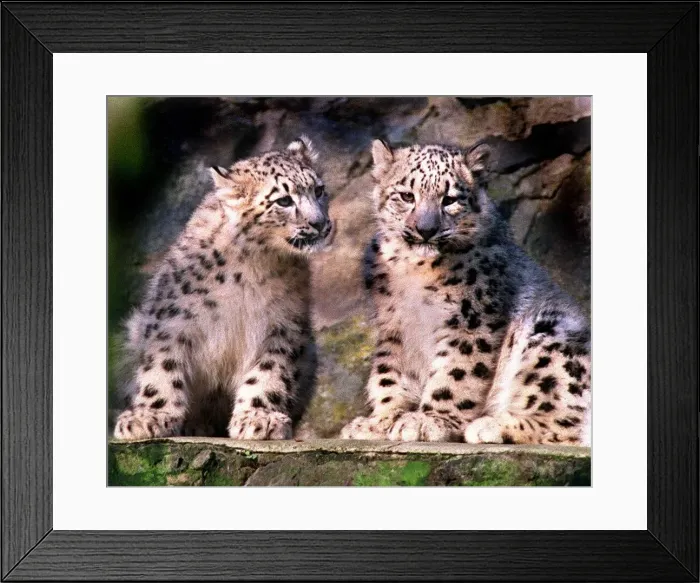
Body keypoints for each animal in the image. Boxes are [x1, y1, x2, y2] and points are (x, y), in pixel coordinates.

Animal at [113, 136, 333, 441]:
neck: (254, 265)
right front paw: (148, 416)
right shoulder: (173, 322)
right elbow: (162, 367)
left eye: (319, 190)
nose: (320, 224)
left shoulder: (281, 326)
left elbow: (268, 373)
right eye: (284, 200)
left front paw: (259, 418)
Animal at [341, 140, 591, 445]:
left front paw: (429, 420)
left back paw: (491, 426)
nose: (425, 230)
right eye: (406, 196)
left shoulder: (470, 319)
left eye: (449, 199)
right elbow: (388, 375)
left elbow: (456, 373)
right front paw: (380, 421)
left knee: (567, 424)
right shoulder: (393, 325)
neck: (412, 270)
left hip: (551, 336)